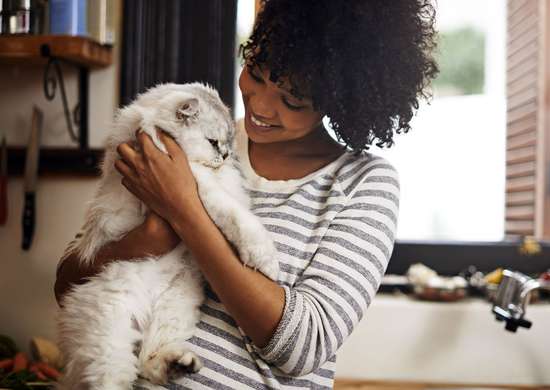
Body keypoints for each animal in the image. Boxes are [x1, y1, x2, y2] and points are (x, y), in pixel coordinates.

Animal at [57, 83, 280, 390]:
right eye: (213, 142)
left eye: (227, 143)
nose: (224, 156)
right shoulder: (198, 185)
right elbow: (238, 218)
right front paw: (266, 260)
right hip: (109, 331)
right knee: (117, 374)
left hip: (177, 305)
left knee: (147, 359)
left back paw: (180, 364)